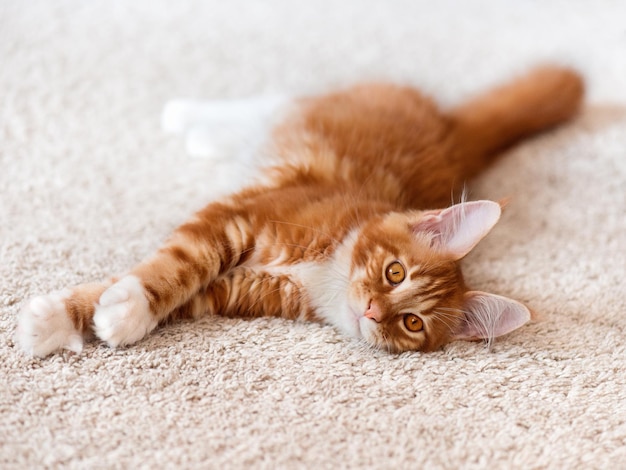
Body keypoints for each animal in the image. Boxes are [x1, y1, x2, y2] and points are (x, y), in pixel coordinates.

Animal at [17, 66, 584, 356]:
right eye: (394, 272)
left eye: (412, 323)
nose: (372, 311)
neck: (324, 272)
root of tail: (454, 133)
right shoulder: (237, 218)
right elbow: (174, 268)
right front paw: (118, 307)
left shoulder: (237, 290)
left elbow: (169, 292)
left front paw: (68, 320)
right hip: (318, 106)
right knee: (272, 99)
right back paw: (189, 117)